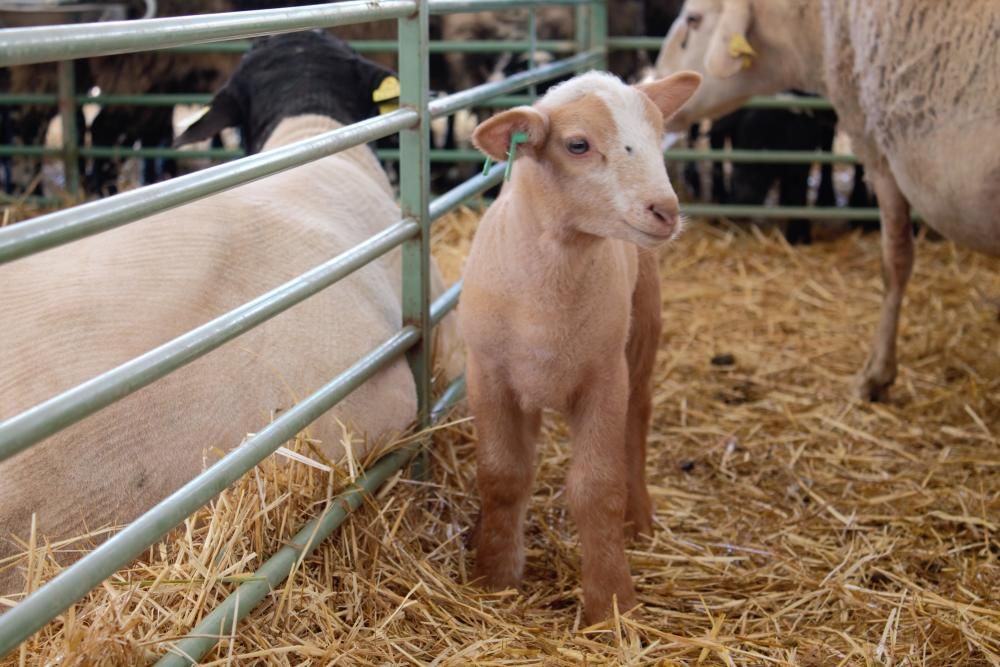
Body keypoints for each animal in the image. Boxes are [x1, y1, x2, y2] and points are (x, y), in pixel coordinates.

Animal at [458, 66, 700, 620]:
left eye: (659, 133)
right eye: (577, 145)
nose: (665, 211)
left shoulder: (603, 378)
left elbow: (597, 489)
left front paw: (611, 602)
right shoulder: (488, 373)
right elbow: (502, 475)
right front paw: (495, 575)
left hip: (642, 331)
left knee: (637, 420)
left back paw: (640, 518)